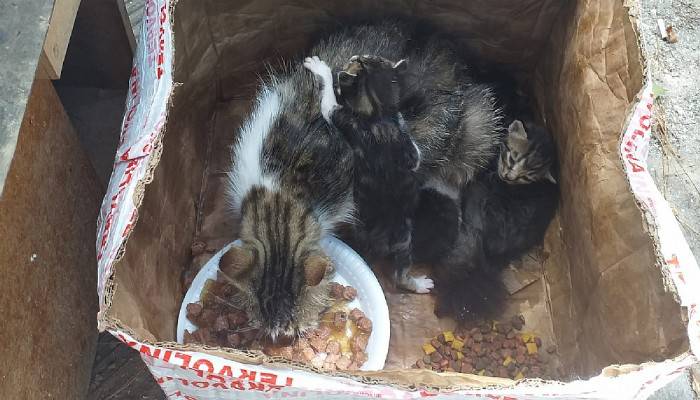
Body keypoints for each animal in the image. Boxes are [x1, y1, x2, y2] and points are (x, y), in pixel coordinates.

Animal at [304, 54, 432, 294]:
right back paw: (419, 284)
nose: (353, 57)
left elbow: (328, 100)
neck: (378, 113)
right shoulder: (407, 146)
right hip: (406, 241)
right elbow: (416, 154)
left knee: (397, 276)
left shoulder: (339, 115)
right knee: (402, 270)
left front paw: (320, 68)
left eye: (357, 60)